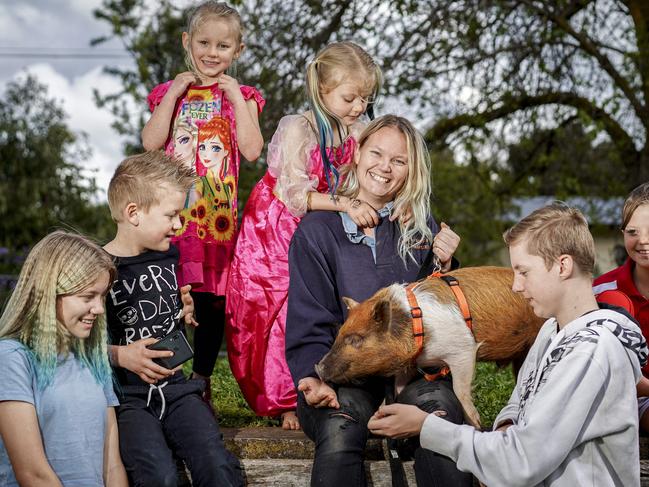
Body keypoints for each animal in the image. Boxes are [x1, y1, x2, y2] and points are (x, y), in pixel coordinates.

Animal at [314, 264, 540, 428]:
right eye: (339, 334)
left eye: (356, 339)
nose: (318, 367)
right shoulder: (409, 365)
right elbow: (398, 386)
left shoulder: (464, 349)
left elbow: (460, 390)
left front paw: (475, 424)